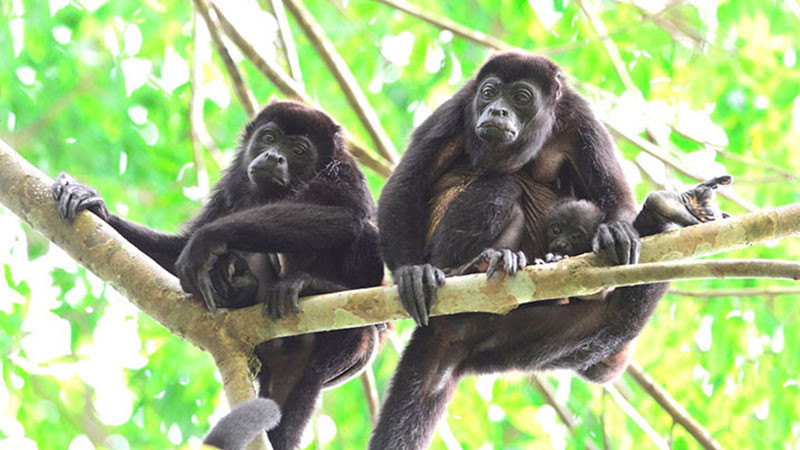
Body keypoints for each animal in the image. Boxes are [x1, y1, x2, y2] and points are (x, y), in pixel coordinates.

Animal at [52, 101, 384, 450]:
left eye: (298, 150)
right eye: (269, 138)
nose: (273, 157)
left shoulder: (345, 169)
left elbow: (345, 213)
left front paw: (208, 239)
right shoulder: (229, 186)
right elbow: (176, 253)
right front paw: (96, 206)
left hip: (357, 348)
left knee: (365, 232)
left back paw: (312, 286)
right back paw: (237, 284)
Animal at [372, 50, 724, 449]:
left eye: (521, 97)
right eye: (489, 92)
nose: (497, 111)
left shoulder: (579, 117)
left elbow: (613, 190)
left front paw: (618, 230)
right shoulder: (456, 107)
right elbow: (406, 184)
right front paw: (410, 273)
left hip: (510, 342)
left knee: (618, 317)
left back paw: (660, 215)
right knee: (501, 186)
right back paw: (469, 266)